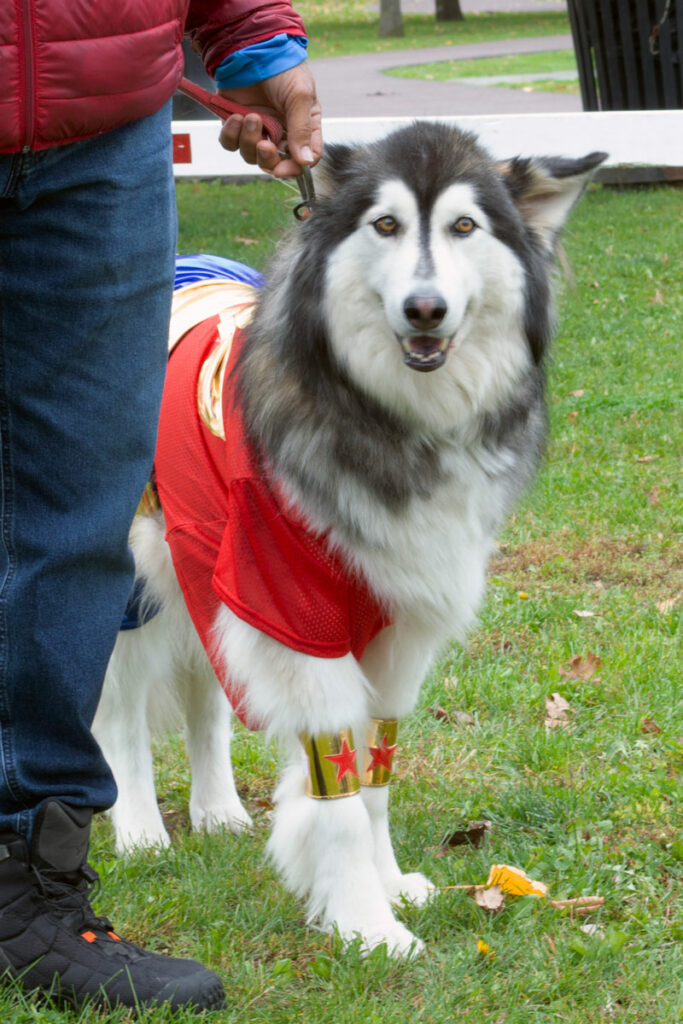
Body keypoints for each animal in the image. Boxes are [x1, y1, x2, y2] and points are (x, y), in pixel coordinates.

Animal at [93, 123, 606, 954]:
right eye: (385, 225)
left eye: (465, 226)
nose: (424, 309)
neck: (391, 419)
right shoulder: (289, 609)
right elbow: (333, 783)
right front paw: (364, 923)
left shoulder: (392, 623)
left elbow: (372, 773)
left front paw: (387, 885)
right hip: (136, 575)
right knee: (120, 710)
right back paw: (139, 830)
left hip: (203, 567)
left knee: (206, 695)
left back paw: (217, 810)